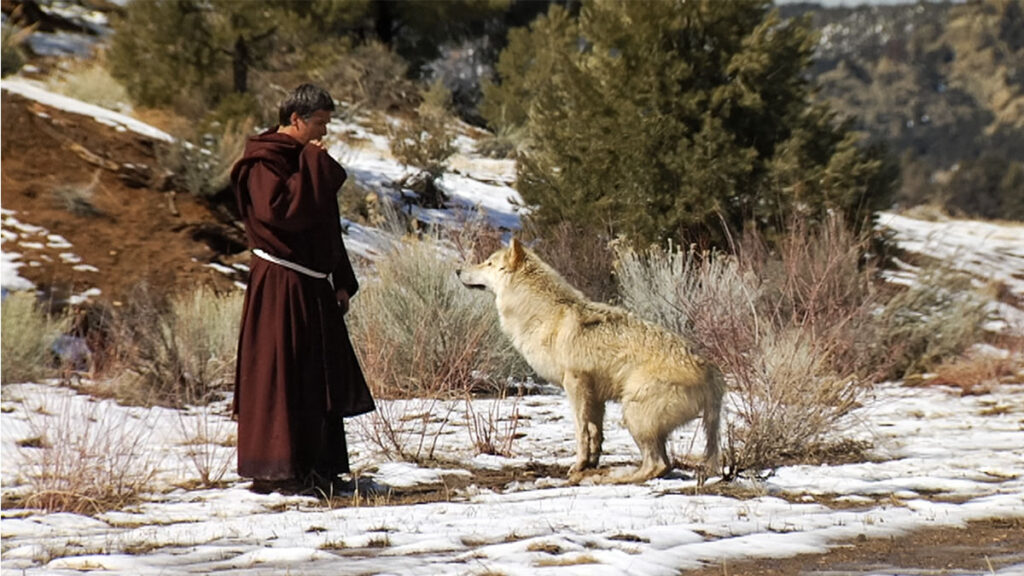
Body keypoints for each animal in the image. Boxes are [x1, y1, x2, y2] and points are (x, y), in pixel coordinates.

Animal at [457, 239, 725, 484]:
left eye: (488, 263)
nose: (458, 270)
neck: (542, 314)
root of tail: (711, 372)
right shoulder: (596, 397)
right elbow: (596, 433)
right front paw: (590, 463)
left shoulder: (575, 384)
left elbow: (581, 431)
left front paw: (578, 466)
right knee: (662, 464)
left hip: (633, 415)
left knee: (658, 465)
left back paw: (613, 478)